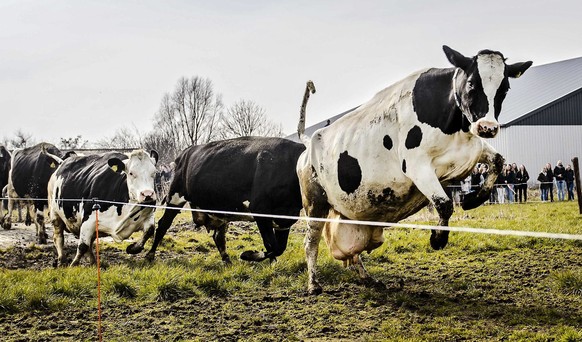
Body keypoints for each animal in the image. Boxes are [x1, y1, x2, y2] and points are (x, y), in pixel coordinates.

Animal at [128, 134, 310, 262]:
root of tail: (186, 152)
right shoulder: (261, 211)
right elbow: (272, 246)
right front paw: (248, 255)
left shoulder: (284, 219)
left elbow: (279, 247)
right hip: (175, 197)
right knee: (162, 226)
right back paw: (147, 254)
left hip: (220, 209)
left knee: (218, 236)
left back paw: (226, 259)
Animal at [298, 44, 532, 294]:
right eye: (471, 83)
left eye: (504, 87)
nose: (487, 127)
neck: (454, 125)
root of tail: (309, 142)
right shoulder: (417, 165)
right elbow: (444, 204)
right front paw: (437, 239)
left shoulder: (473, 149)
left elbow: (498, 161)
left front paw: (472, 199)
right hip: (315, 203)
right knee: (310, 242)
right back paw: (314, 283)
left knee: (353, 253)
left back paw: (367, 278)